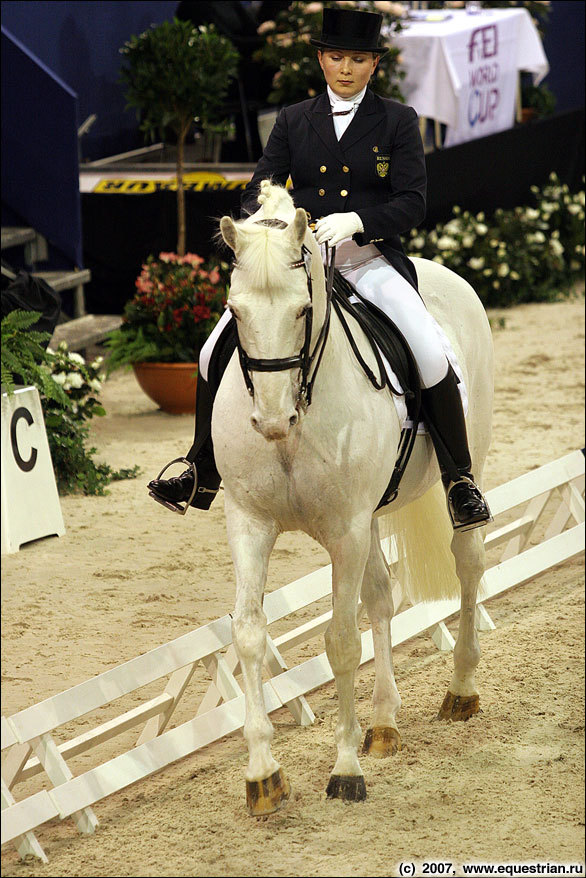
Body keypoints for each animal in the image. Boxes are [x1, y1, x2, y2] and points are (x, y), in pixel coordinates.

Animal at [212, 180, 490, 820]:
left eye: (301, 310)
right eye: (235, 312)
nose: (271, 422)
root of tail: (442, 271)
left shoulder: (344, 529)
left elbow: (339, 641)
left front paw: (344, 772)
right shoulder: (252, 522)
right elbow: (249, 634)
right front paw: (263, 776)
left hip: (463, 470)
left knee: (468, 564)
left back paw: (460, 690)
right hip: (368, 520)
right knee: (382, 598)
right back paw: (384, 724)